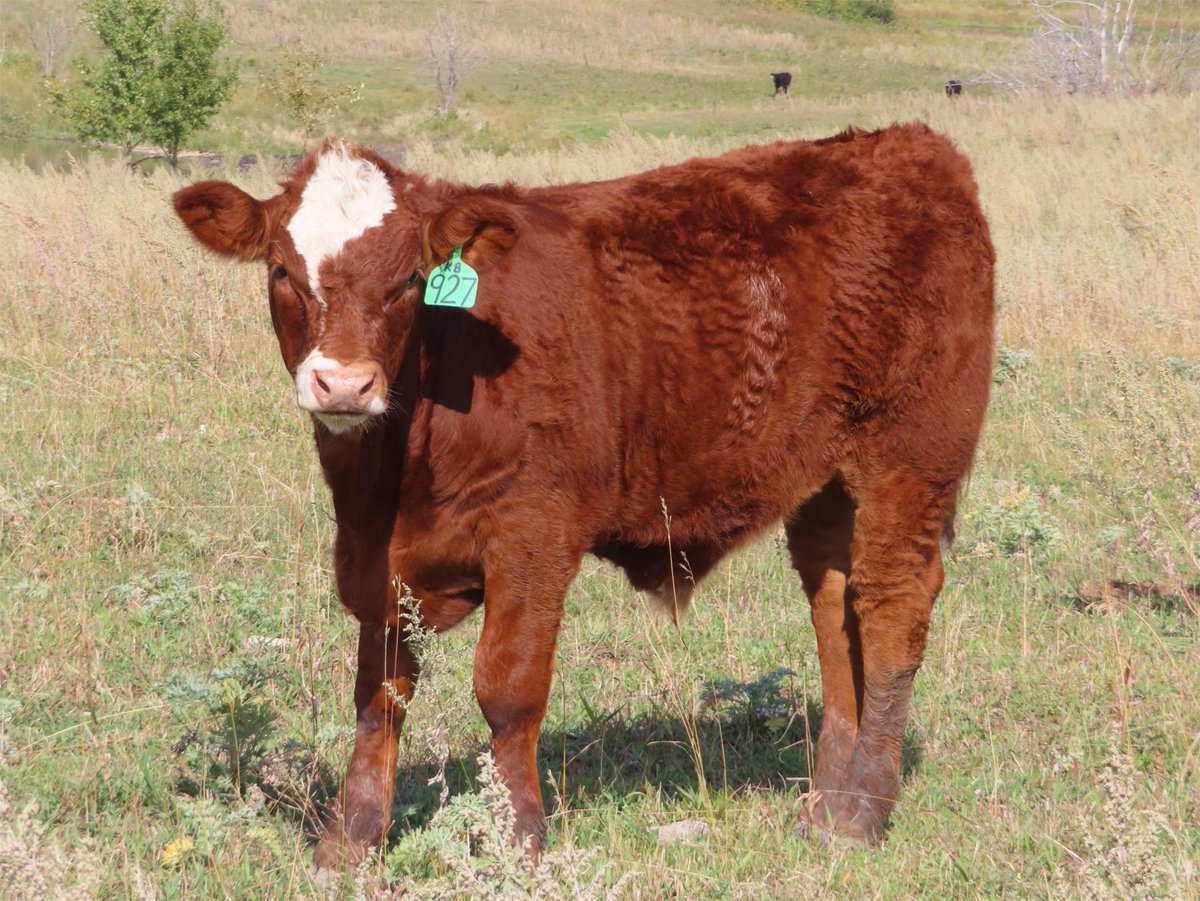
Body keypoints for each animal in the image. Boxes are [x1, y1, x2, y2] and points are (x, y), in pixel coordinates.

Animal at [172, 122, 995, 867]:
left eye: (410, 279)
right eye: (282, 271)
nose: (343, 383)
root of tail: (905, 144)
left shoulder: (533, 532)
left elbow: (507, 687)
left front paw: (521, 838)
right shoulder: (377, 558)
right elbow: (379, 692)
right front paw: (350, 839)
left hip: (909, 455)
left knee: (891, 607)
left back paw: (862, 813)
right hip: (823, 485)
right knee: (834, 608)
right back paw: (825, 806)